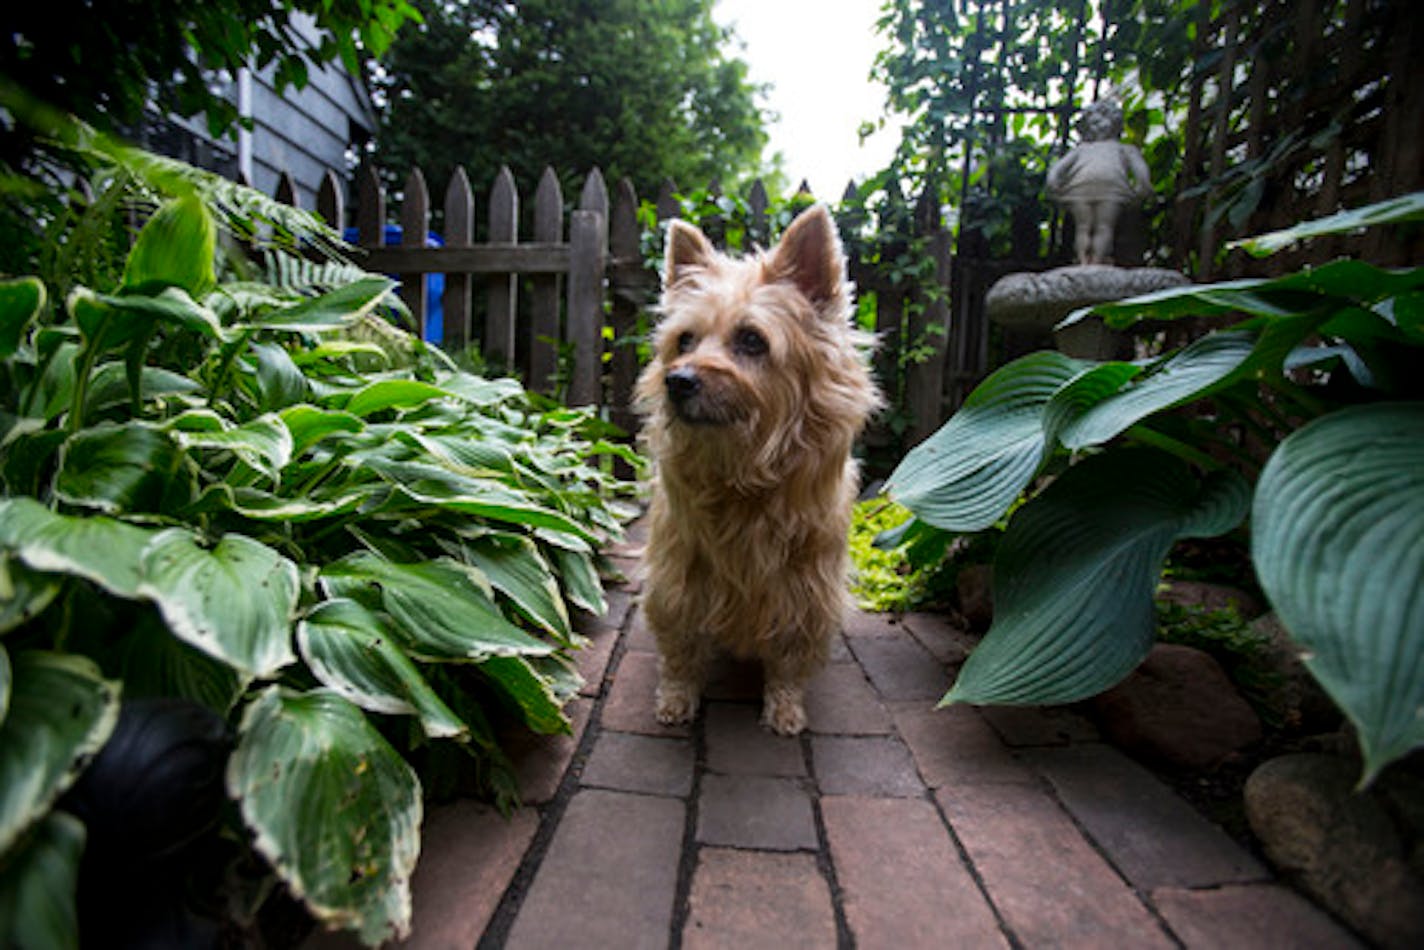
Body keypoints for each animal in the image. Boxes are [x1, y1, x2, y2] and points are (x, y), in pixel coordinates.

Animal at [637, 206, 877, 734]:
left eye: (752, 340)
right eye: (684, 340)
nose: (676, 381)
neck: (741, 473)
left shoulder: (805, 588)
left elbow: (789, 655)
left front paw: (785, 706)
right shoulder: (679, 573)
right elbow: (680, 646)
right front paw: (676, 697)